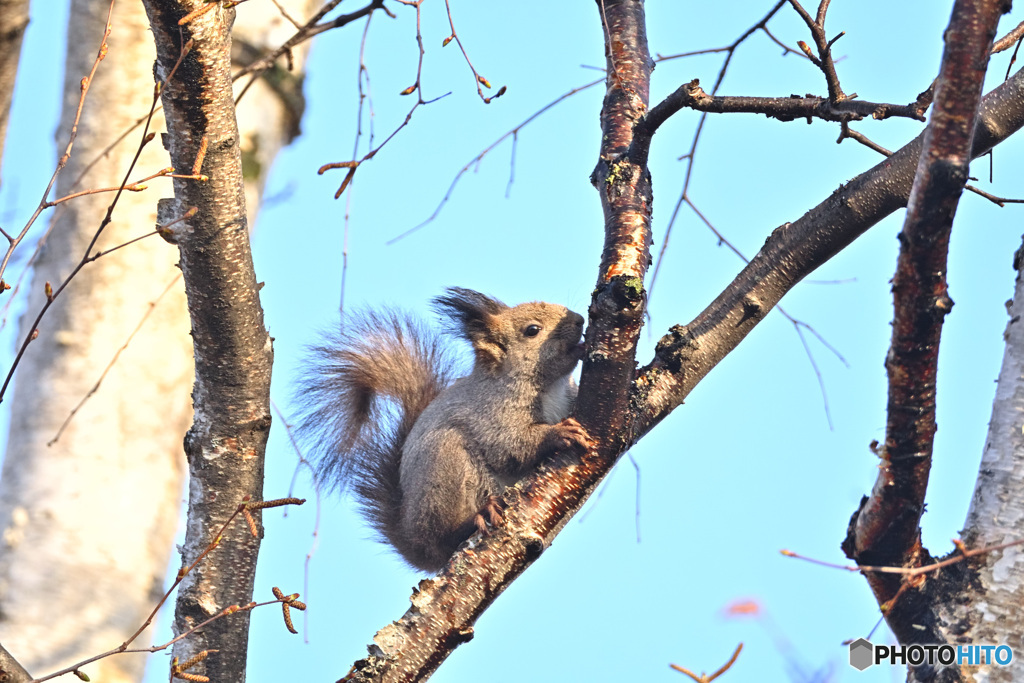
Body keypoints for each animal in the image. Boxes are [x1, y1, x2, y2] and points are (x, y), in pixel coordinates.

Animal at [296, 288, 593, 573]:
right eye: (532, 330)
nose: (580, 319)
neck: (552, 385)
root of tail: (414, 544)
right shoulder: (492, 414)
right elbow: (511, 447)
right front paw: (558, 434)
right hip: (445, 467)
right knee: (446, 534)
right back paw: (477, 518)